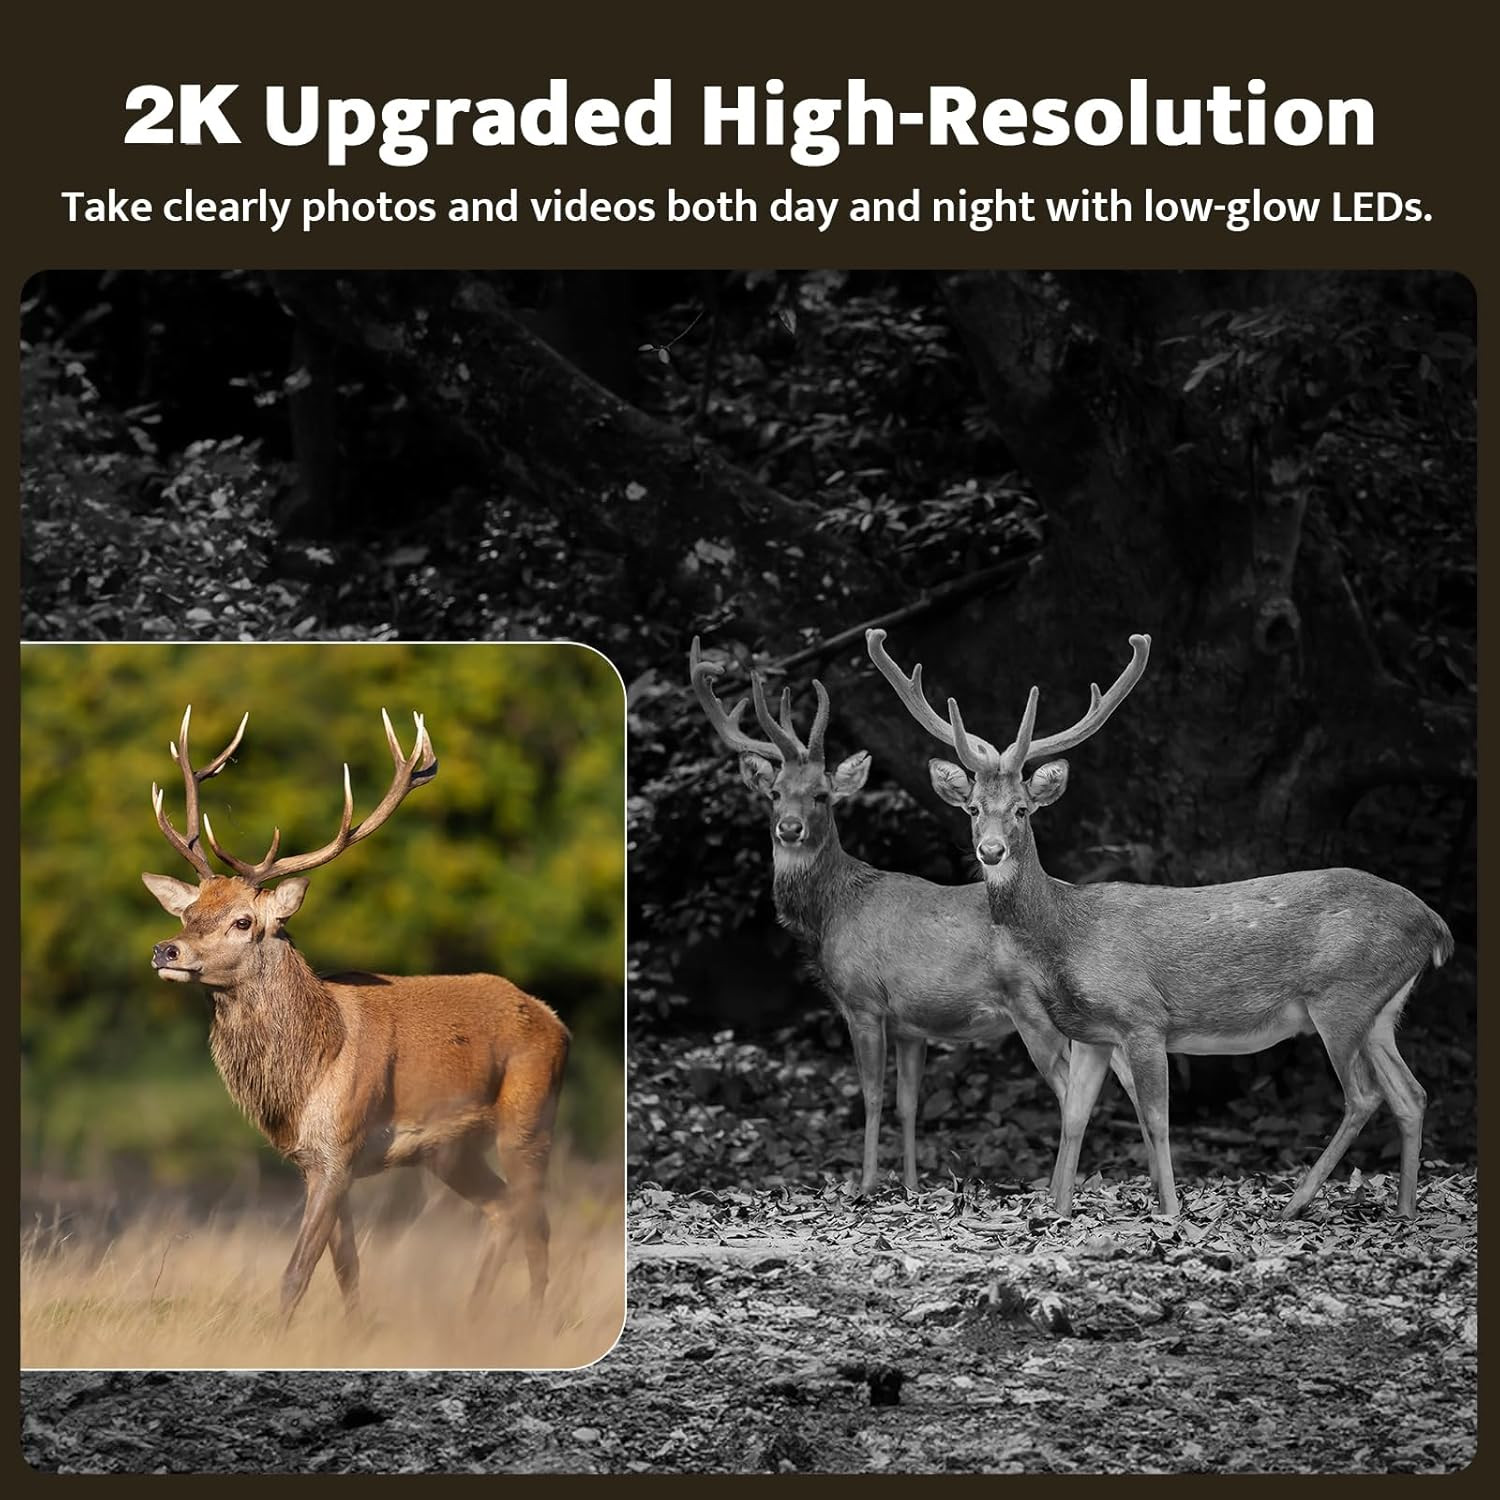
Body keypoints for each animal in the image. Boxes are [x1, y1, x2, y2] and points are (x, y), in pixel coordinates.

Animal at [141, 705, 570, 1325]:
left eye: (244, 920)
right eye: (190, 912)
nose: (165, 951)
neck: (309, 1072)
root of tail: (555, 1021)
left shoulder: (342, 1149)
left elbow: (296, 1274)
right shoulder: (311, 1161)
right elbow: (347, 1268)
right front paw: (355, 1329)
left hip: (530, 1115)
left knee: (536, 1218)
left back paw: (534, 1320)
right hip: (451, 1149)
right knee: (503, 1209)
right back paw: (473, 1316)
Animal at [689, 638, 1153, 1199]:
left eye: (822, 794)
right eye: (775, 793)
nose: (790, 828)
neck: (833, 911)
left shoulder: (862, 1000)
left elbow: (870, 1094)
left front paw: (866, 1183)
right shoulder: (912, 1022)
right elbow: (909, 1102)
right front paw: (910, 1185)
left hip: (1032, 1010)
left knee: (1072, 1092)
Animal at [867, 627, 1453, 1221]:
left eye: (1022, 810)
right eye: (972, 810)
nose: (990, 851)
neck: (1067, 936)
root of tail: (1435, 923)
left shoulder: (1142, 1018)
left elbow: (1155, 1121)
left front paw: (1170, 1210)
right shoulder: (1092, 1033)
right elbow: (1073, 1116)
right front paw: (1058, 1210)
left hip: (1341, 996)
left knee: (1364, 1094)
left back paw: (1296, 1204)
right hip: (1380, 1009)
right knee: (1411, 1094)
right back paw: (1404, 1209)